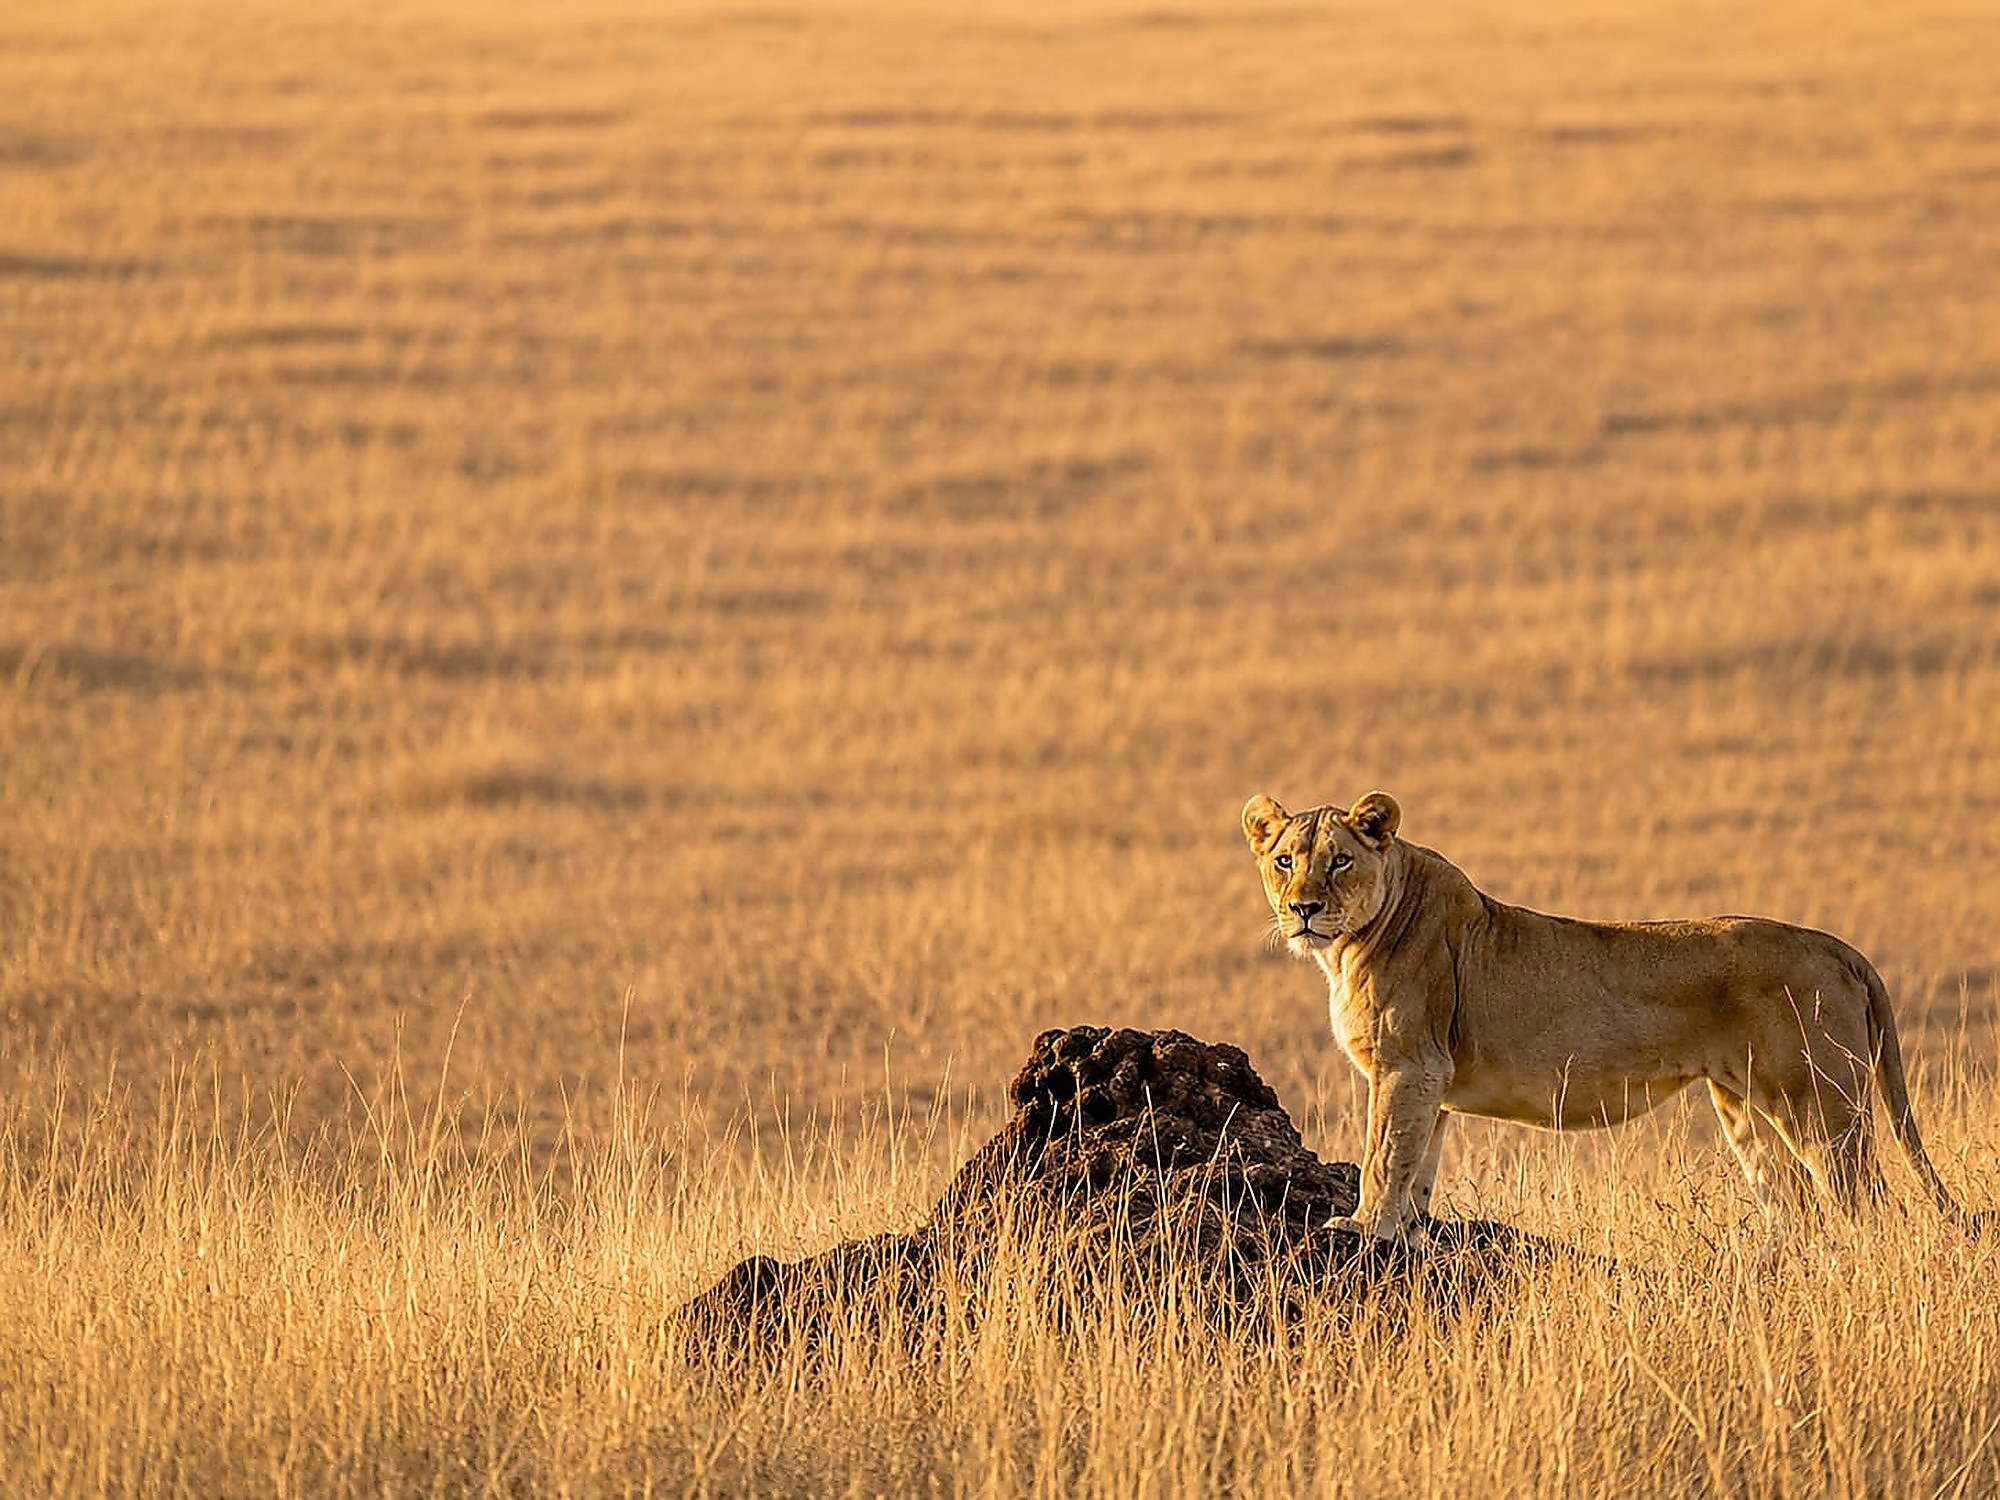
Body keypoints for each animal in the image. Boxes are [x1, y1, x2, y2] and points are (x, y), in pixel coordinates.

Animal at [1242, 789, 1977, 1248]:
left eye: (1339, 860)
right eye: (1284, 860)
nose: (1303, 908)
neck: (1347, 947)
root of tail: (1837, 946)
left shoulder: (1407, 1065)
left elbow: (1383, 1152)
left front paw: (1362, 1228)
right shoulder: (1429, 1079)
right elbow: (1418, 1162)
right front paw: (1413, 1236)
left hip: (1821, 1106)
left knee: (1865, 1208)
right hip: (1744, 1106)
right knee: (1793, 1205)